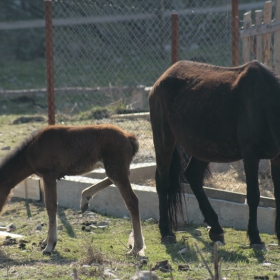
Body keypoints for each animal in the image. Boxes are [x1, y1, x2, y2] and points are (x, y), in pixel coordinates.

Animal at [0, 124, 144, 256]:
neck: (30, 152)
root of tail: (128, 137)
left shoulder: (49, 175)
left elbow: (51, 206)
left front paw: (50, 245)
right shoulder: (48, 177)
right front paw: (45, 241)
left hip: (116, 169)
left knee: (132, 200)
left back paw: (136, 248)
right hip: (115, 168)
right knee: (122, 175)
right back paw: (85, 197)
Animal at [150, 60, 280, 248]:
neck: (267, 104)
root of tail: (162, 78)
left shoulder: (276, 157)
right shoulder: (251, 156)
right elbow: (253, 196)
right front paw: (255, 238)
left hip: (203, 149)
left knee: (193, 176)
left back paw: (216, 229)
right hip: (164, 139)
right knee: (163, 181)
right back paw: (166, 231)